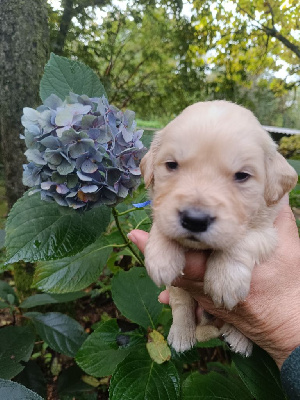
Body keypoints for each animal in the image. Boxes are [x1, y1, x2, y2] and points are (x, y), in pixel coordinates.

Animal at [141, 101, 298, 356]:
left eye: (242, 175)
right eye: (171, 165)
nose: (194, 220)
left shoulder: (270, 228)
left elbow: (245, 239)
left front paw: (225, 279)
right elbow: (162, 224)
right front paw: (161, 257)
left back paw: (239, 339)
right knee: (181, 304)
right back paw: (182, 334)